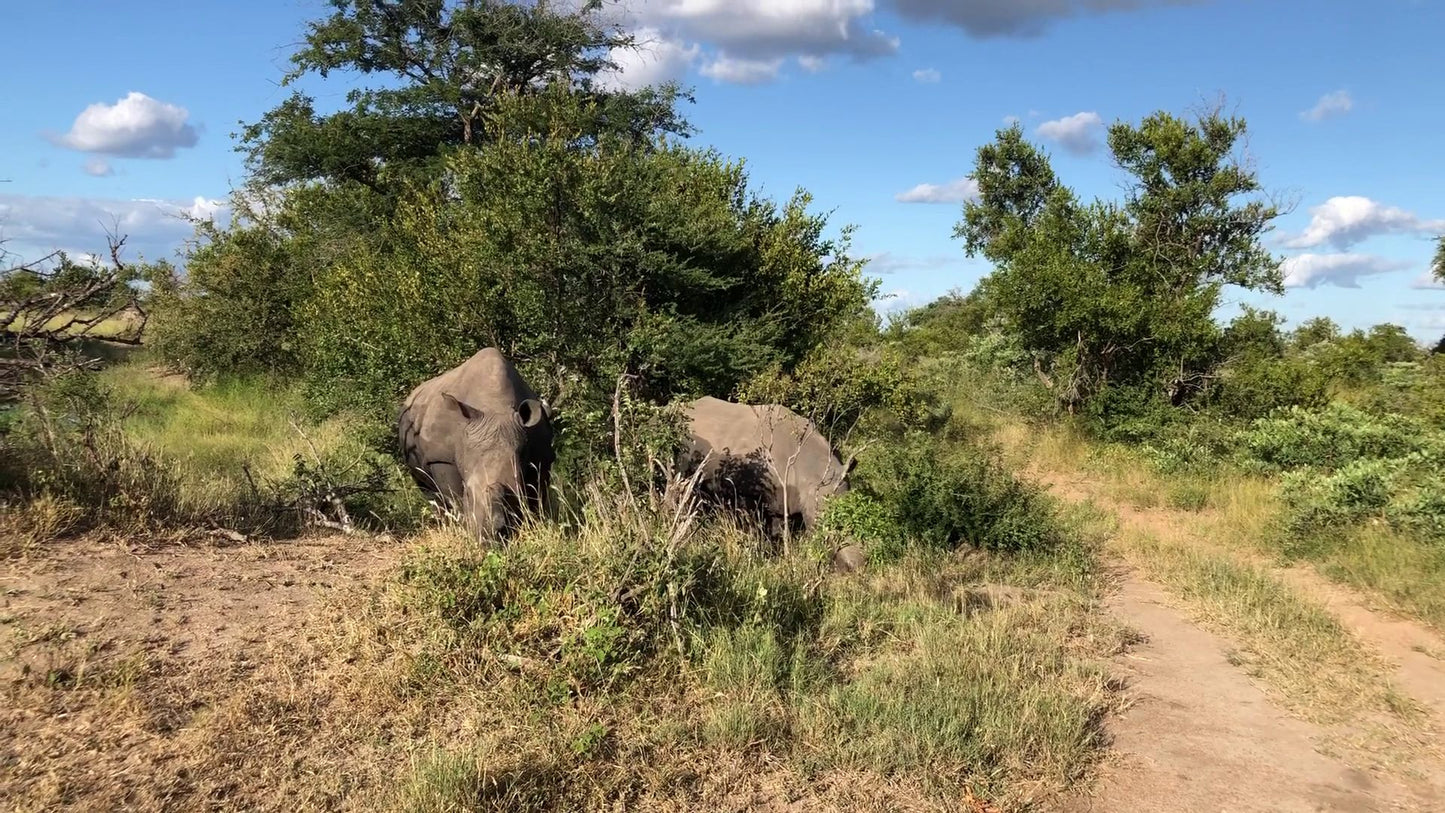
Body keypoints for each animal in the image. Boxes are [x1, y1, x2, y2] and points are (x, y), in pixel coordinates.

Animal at [395, 345, 551, 540]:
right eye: (468, 493)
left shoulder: (541, 458)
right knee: (428, 489)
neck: (494, 405)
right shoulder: (440, 458)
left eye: (515, 491)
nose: (488, 535)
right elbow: (454, 496)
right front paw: (463, 528)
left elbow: (536, 496)